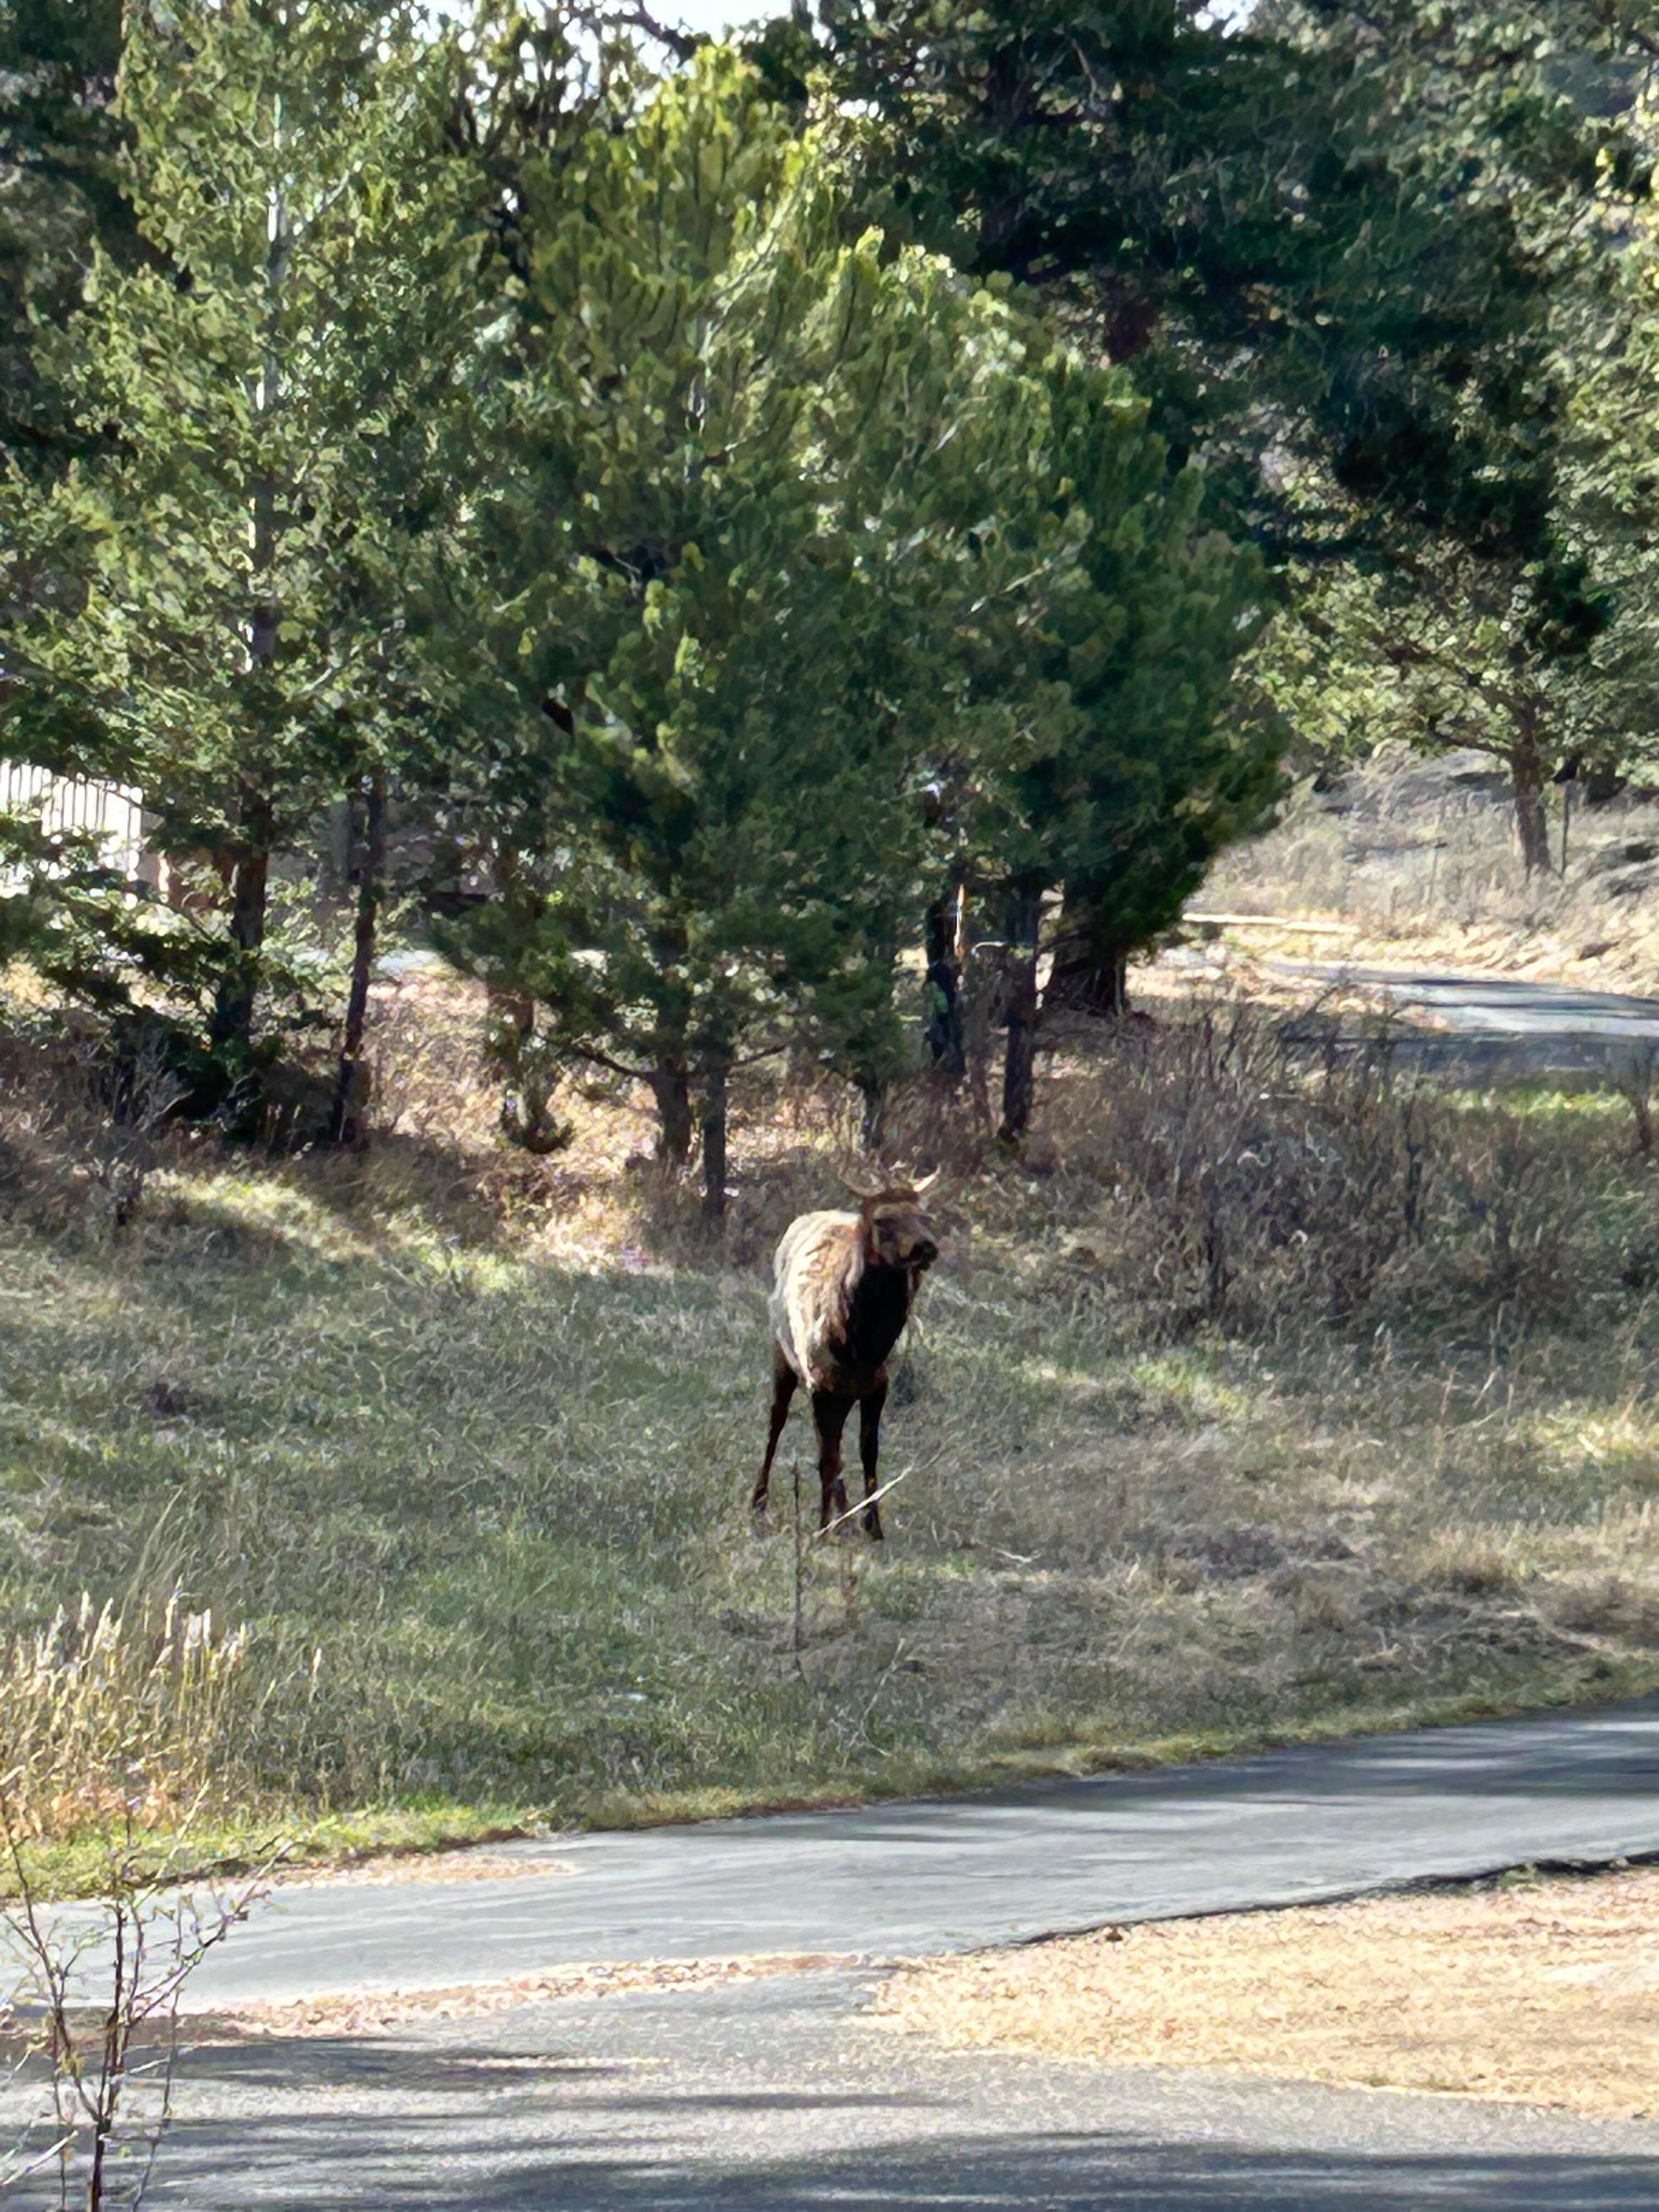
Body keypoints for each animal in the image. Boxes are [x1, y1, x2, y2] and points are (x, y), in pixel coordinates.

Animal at [752, 1168, 941, 1541]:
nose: (926, 1246)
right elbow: (826, 1458)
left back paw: (845, 1515)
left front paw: (873, 1526)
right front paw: (822, 1528)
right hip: (782, 1354)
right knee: (777, 1421)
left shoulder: (877, 1385)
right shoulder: (819, 1382)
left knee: (830, 1444)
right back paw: (760, 1500)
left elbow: (867, 1454)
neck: (862, 1345)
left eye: (926, 1217)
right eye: (883, 1219)